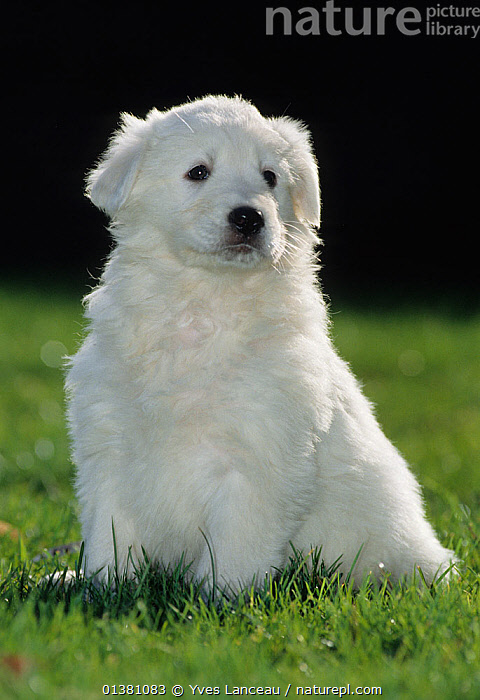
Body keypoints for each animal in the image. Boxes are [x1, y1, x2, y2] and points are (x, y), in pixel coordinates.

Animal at [66, 94, 454, 592]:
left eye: (270, 177)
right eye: (198, 172)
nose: (250, 217)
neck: (207, 300)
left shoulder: (258, 458)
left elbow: (235, 548)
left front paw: (221, 600)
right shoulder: (111, 446)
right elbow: (112, 536)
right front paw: (103, 590)